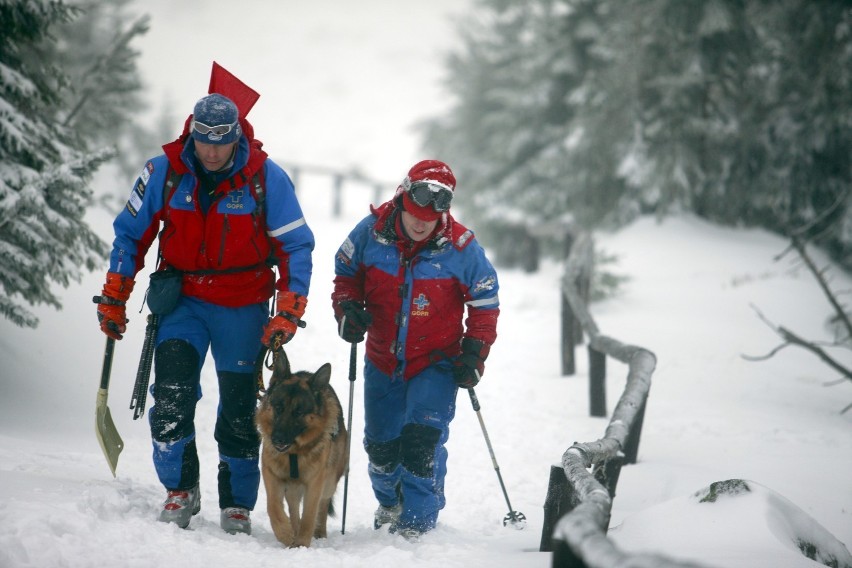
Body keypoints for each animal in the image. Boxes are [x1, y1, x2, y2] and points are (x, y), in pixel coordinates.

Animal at [255, 350, 348, 544]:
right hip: (293, 487)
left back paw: (319, 534)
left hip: (328, 482)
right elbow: (273, 507)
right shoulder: (271, 475)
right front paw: (286, 534)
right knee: (292, 507)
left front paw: (302, 544)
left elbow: (309, 516)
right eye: (278, 407)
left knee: (323, 505)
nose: (278, 439)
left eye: (298, 412)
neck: (293, 453)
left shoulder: (314, 482)